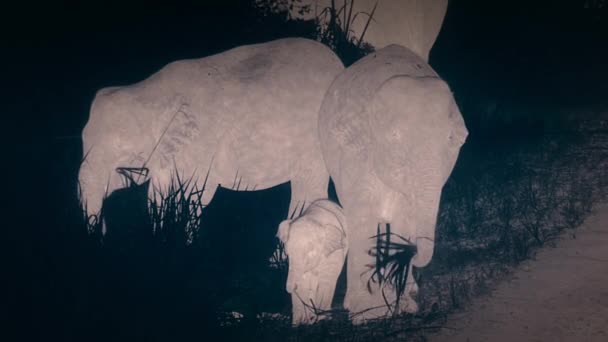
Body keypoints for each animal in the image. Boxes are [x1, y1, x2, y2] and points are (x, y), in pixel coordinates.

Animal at [78, 38, 344, 230]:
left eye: (122, 154)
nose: (103, 230)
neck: (148, 90)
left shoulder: (198, 147)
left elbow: (183, 197)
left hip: (319, 137)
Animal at [318, 44, 470, 322]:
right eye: (395, 137)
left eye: (452, 139)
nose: (411, 251)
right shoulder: (356, 153)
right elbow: (363, 215)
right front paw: (368, 312)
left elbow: (405, 216)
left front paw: (402, 303)